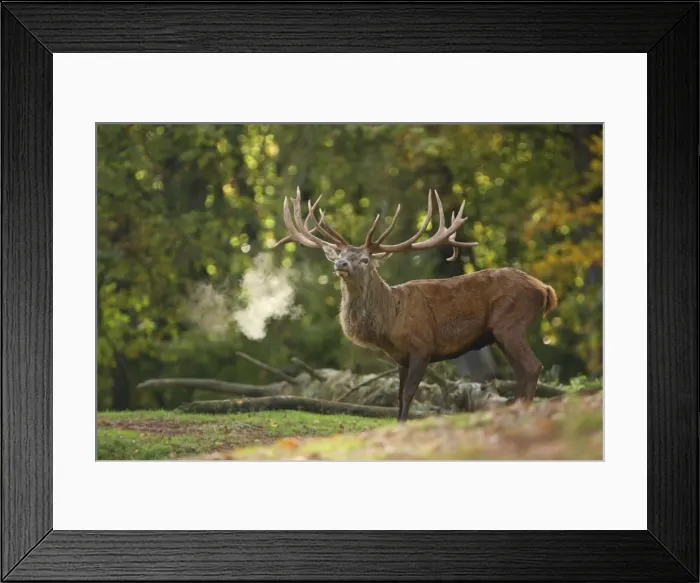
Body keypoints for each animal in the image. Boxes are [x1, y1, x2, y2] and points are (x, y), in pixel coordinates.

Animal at [276, 187, 558, 422]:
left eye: (365, 259)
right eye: (342, 254)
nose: (340, 264)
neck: (390, 321)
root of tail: (545, 289)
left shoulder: (423, 347)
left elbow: (410, 394)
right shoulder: (400, 358)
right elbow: (400, 397)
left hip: (511, 323)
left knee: (532, 367)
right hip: (500, 334)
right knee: (521, 372)